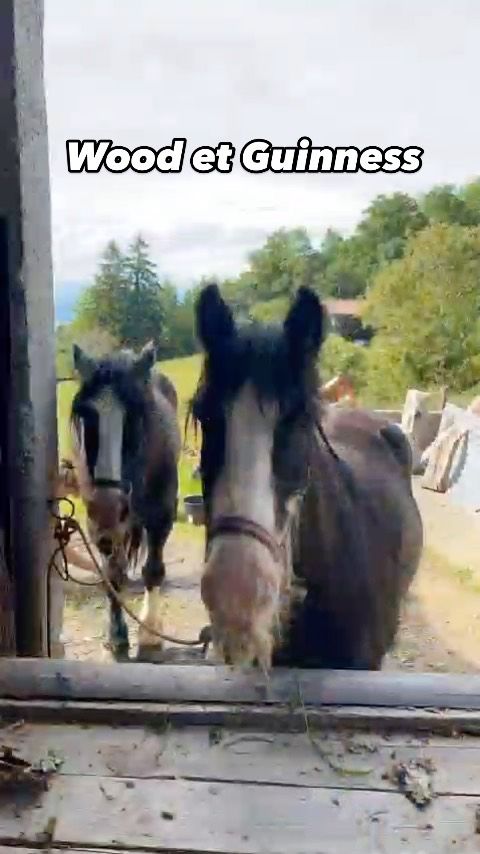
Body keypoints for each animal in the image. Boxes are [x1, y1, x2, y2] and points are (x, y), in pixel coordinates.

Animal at [69, 341, 181, 659]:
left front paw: (150, 636)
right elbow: (113, 574)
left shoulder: (162, 515)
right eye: (84, 417)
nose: (107, 508)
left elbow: (153, 571)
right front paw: (117, 635)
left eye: (137, 416)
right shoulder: (100, 528)